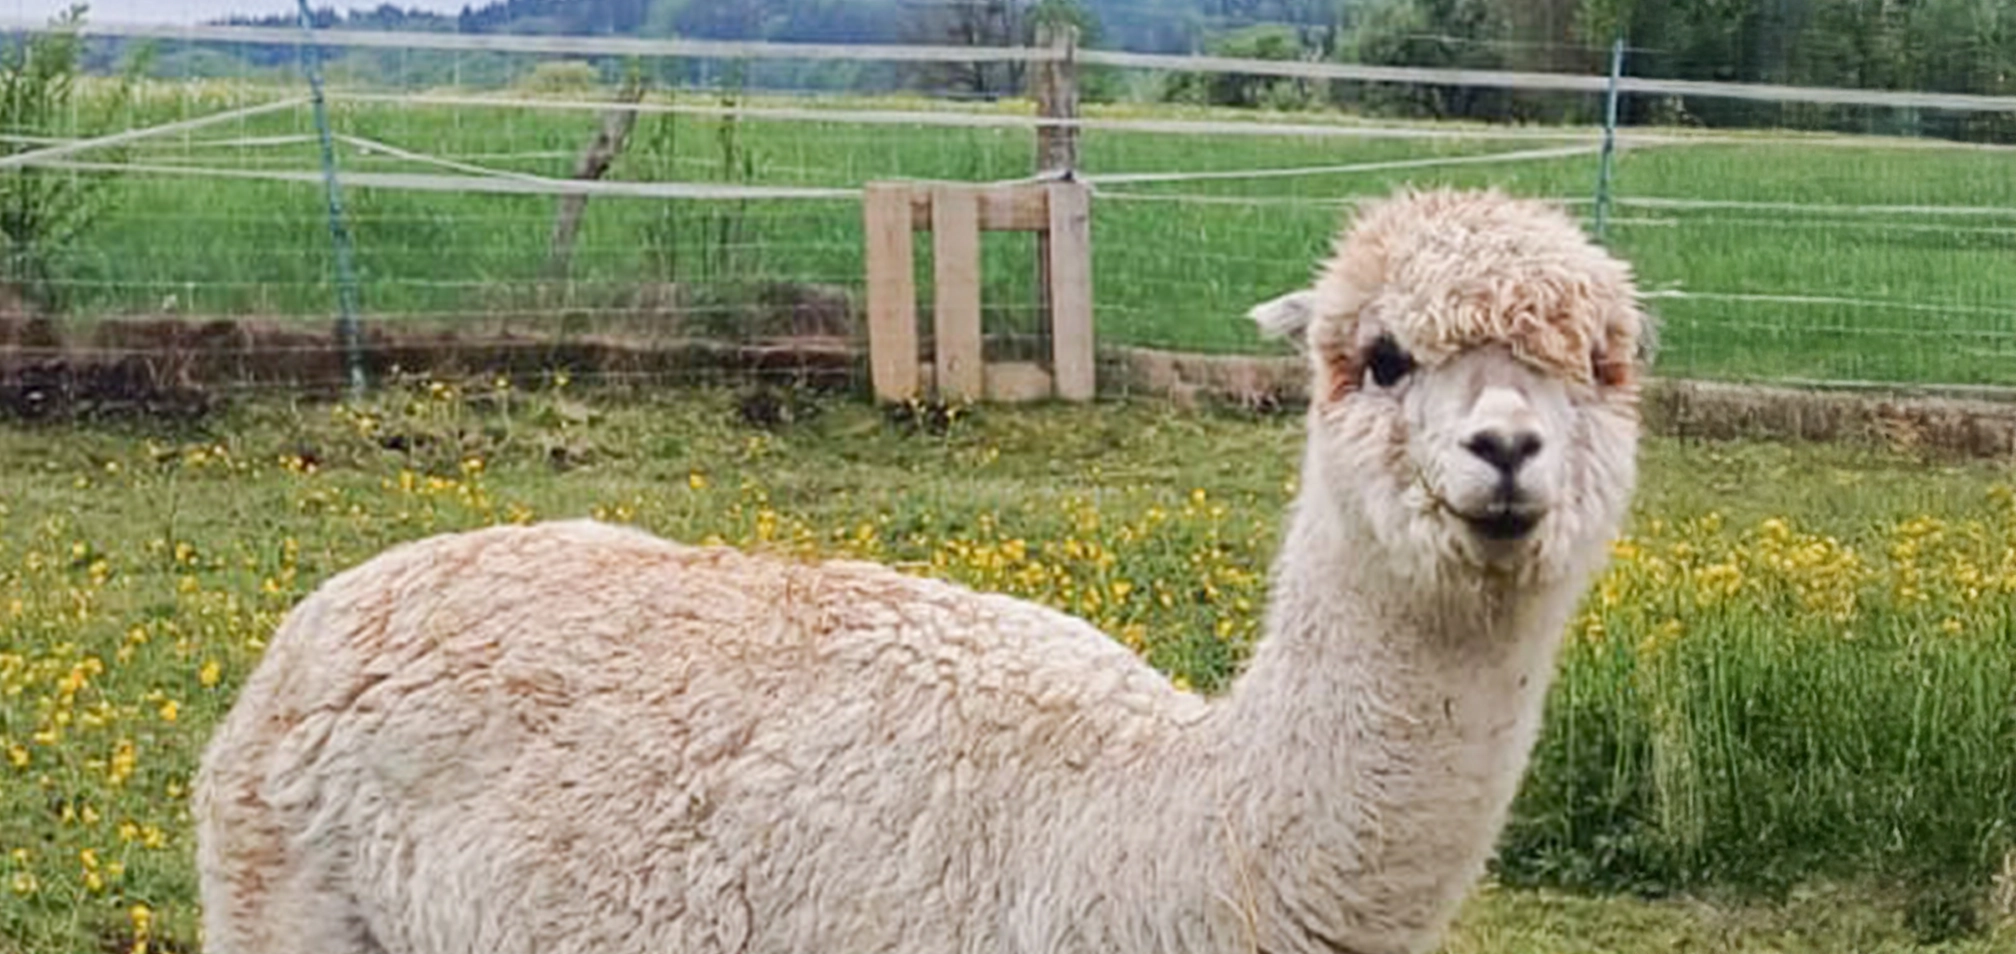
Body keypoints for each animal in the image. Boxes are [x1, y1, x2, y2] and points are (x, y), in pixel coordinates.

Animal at [194, 185, 1651, 954]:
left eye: (1601, 364)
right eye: (1385, 357)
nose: (1505, 450)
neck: (1142, 833)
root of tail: (331, 605)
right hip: (283, 907)